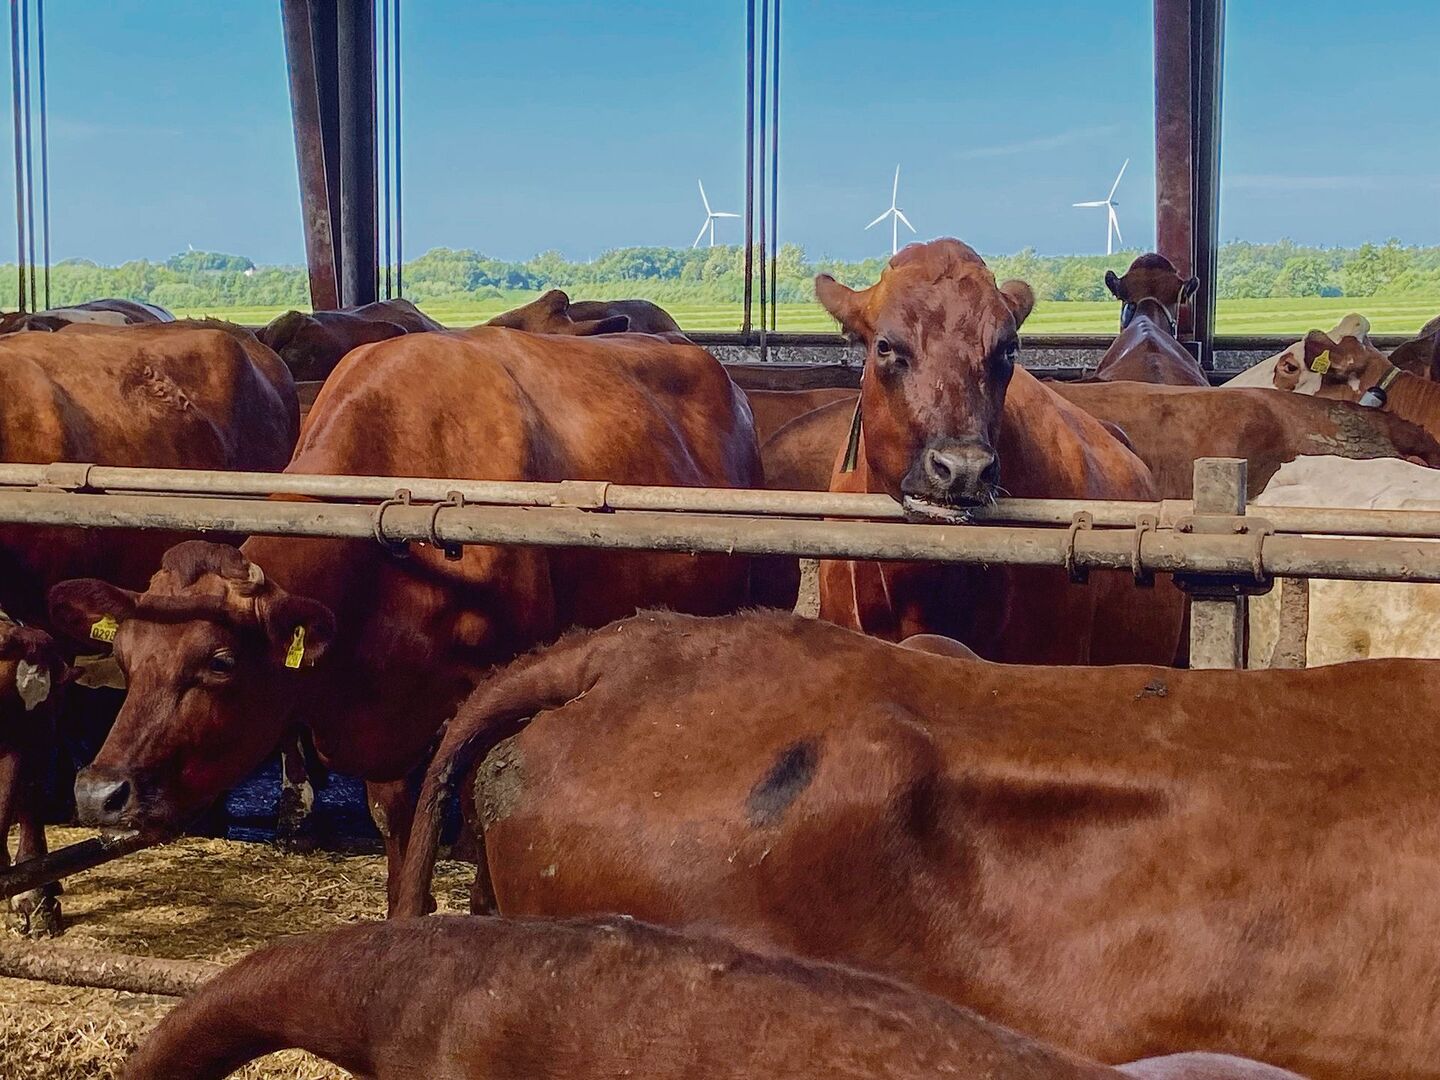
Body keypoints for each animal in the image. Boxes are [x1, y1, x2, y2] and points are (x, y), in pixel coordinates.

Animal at [48, 327, 760, 911]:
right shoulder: (386, 715)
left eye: (219, 662)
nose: (97, 793)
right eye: (125, 658)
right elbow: (397, 818)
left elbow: (476, 802)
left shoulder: (492, 687)